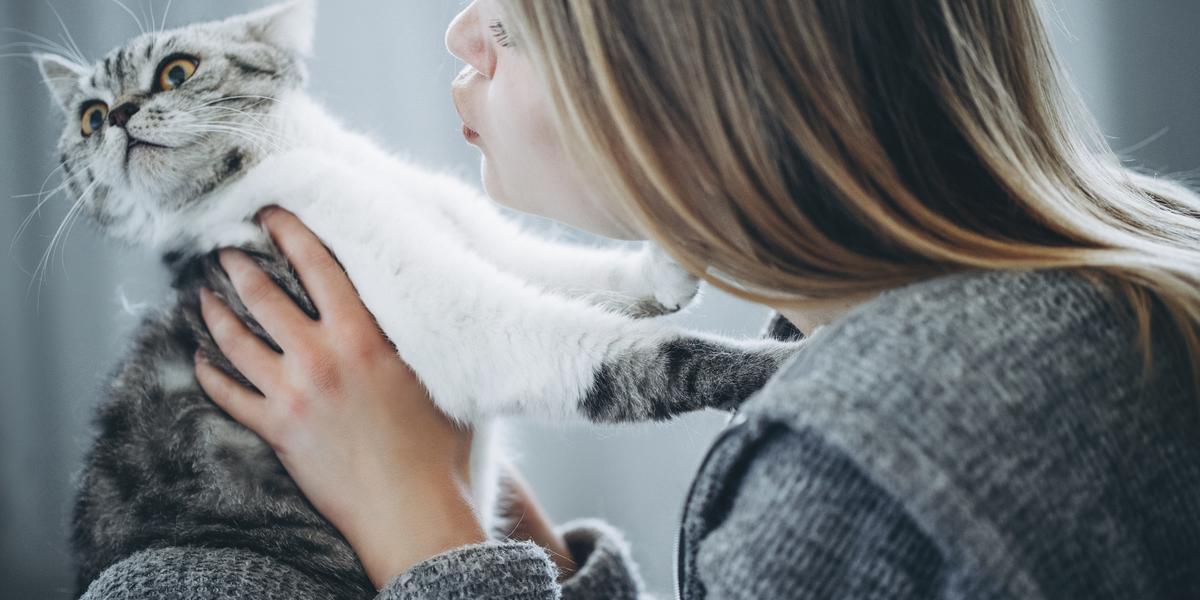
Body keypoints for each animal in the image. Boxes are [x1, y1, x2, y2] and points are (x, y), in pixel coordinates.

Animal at [35, 0, 806, 595]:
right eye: (90, 116)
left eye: (177, 71)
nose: (119, 114)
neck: (304, 162)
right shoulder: (458, 324)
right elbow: (642, 357)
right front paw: (780, 367)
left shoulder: (458, 223)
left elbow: (556, 265)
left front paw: (669, 260)